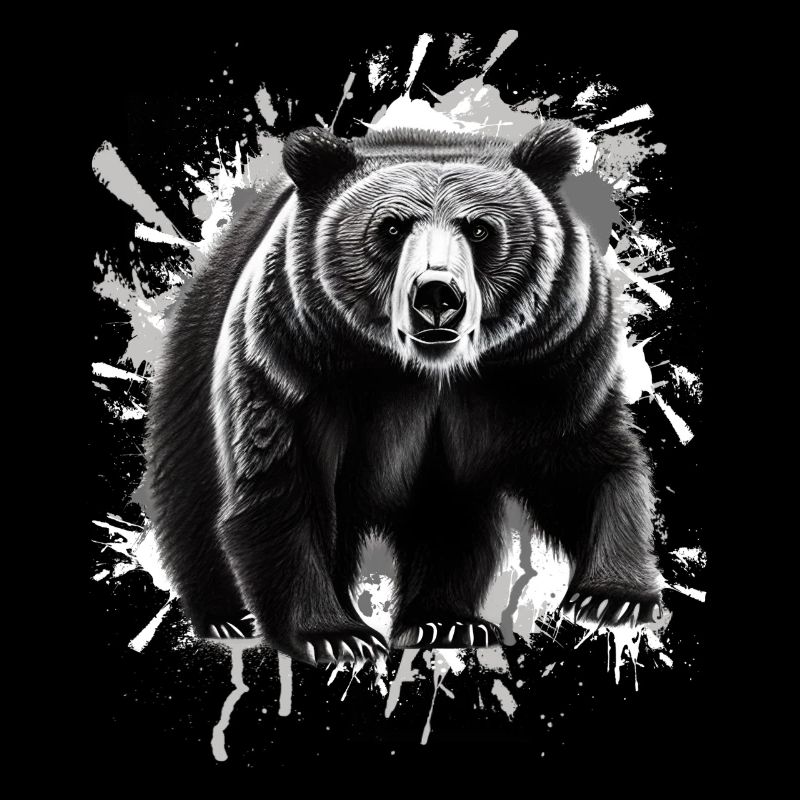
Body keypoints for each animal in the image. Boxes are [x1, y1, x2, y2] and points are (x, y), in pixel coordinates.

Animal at [145, 121, 665, 668]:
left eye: (480, 229)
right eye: (392, 228)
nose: (437, 294)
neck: (423, 372)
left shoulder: (551, 361)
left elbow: (584, 461)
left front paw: (614, 596)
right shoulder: (294, 359)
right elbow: (283, 481)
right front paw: (335, 633)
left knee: (453, 517)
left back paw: (445, 621)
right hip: (194, 365)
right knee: (190, 495)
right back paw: (223, 615)